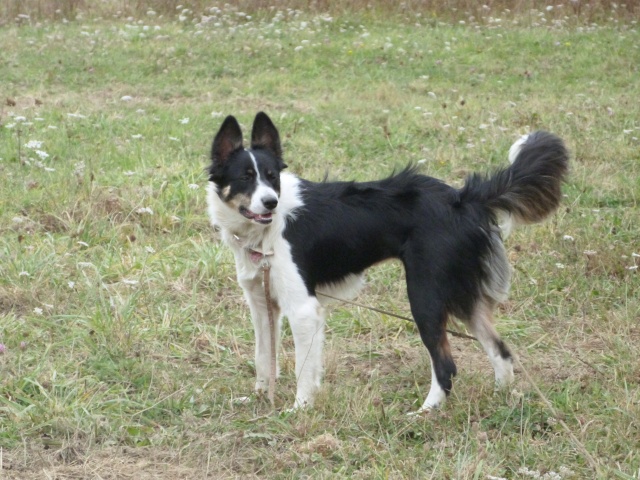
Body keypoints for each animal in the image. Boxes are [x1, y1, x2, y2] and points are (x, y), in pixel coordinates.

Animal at [206, 111, 568, 412]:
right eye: (245, 178)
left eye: (271, 177)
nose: (270, 202)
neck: (266, 230)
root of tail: (462, 199)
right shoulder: (261, 303)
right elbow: (263, 357)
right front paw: (259, 397)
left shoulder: (303, 309)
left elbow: (303, 369)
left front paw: (299, 409)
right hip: (460, 293)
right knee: (501, 351)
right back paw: (500, 398)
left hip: (425, 296)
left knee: (447, 366)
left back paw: (424, 413)